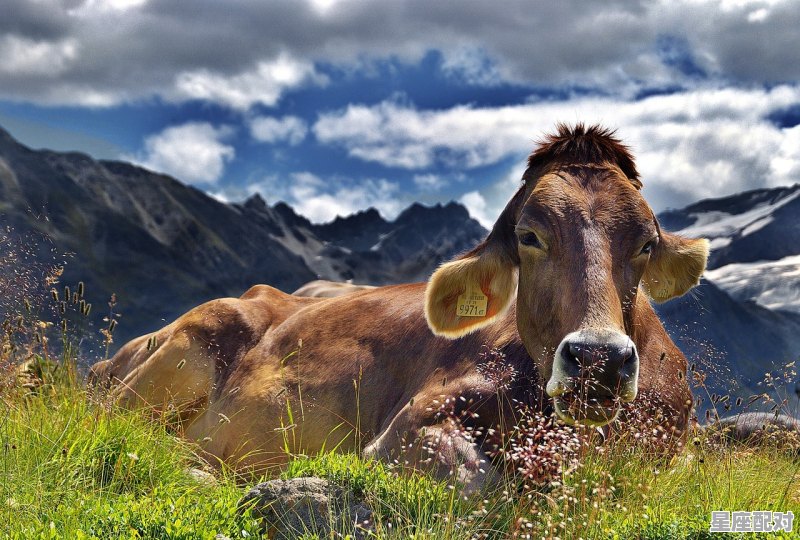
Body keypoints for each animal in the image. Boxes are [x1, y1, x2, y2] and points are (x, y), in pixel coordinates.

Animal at [90, 124, 708, 492]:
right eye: (529, 236)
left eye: (646, 242)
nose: (598, 360)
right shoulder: (406, 429)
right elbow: (482, 484)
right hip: (187, 347)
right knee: (125, 427)